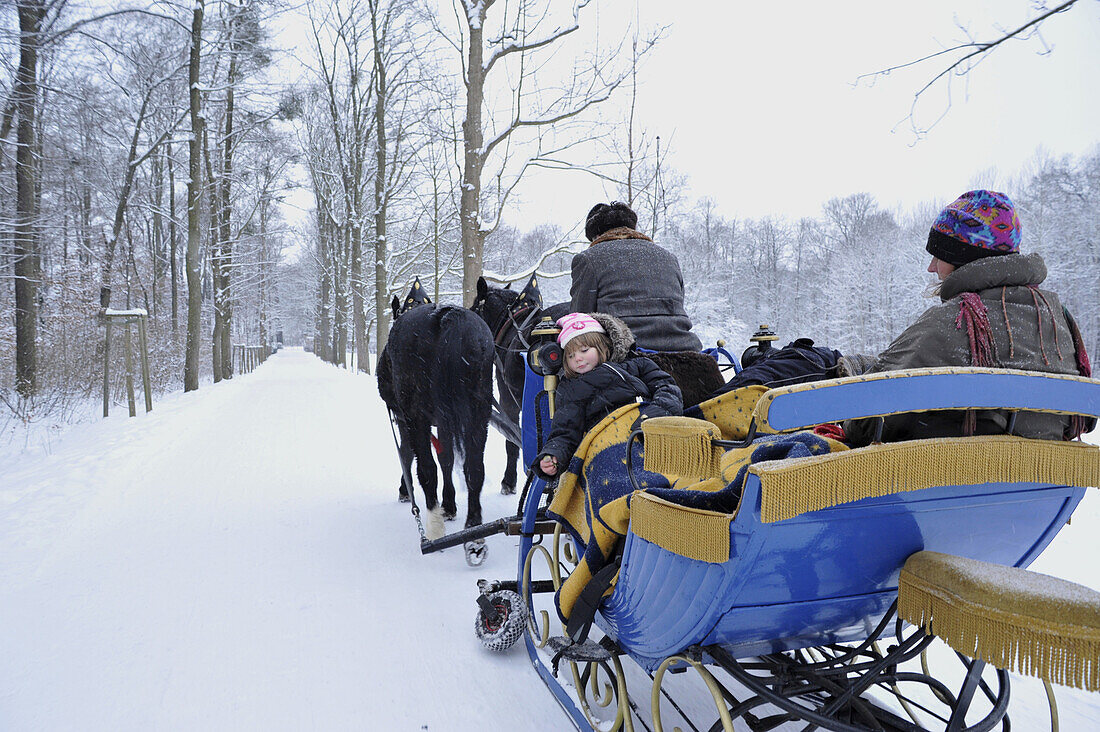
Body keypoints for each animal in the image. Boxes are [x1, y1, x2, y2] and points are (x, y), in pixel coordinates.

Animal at [382, 281, 495, 539]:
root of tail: (448, 317)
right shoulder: (445, 420)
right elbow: (447, 459)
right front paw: (450, 505)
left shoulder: (404, 418)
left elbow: (407, 454)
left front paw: (405, 490)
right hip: (478, 412)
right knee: (474, 466)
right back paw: (473, 526)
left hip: (417, 416)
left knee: (426, 469)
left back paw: (434, 529)